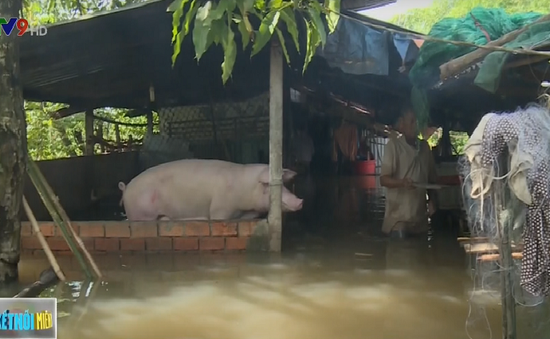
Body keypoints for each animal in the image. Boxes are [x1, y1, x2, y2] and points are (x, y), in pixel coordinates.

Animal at [118, 160, 304, 222]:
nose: (300, 201)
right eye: (267, 186)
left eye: (285, 185)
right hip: (140, 214)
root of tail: (126, 188)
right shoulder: (220, 208)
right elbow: (217, 217)